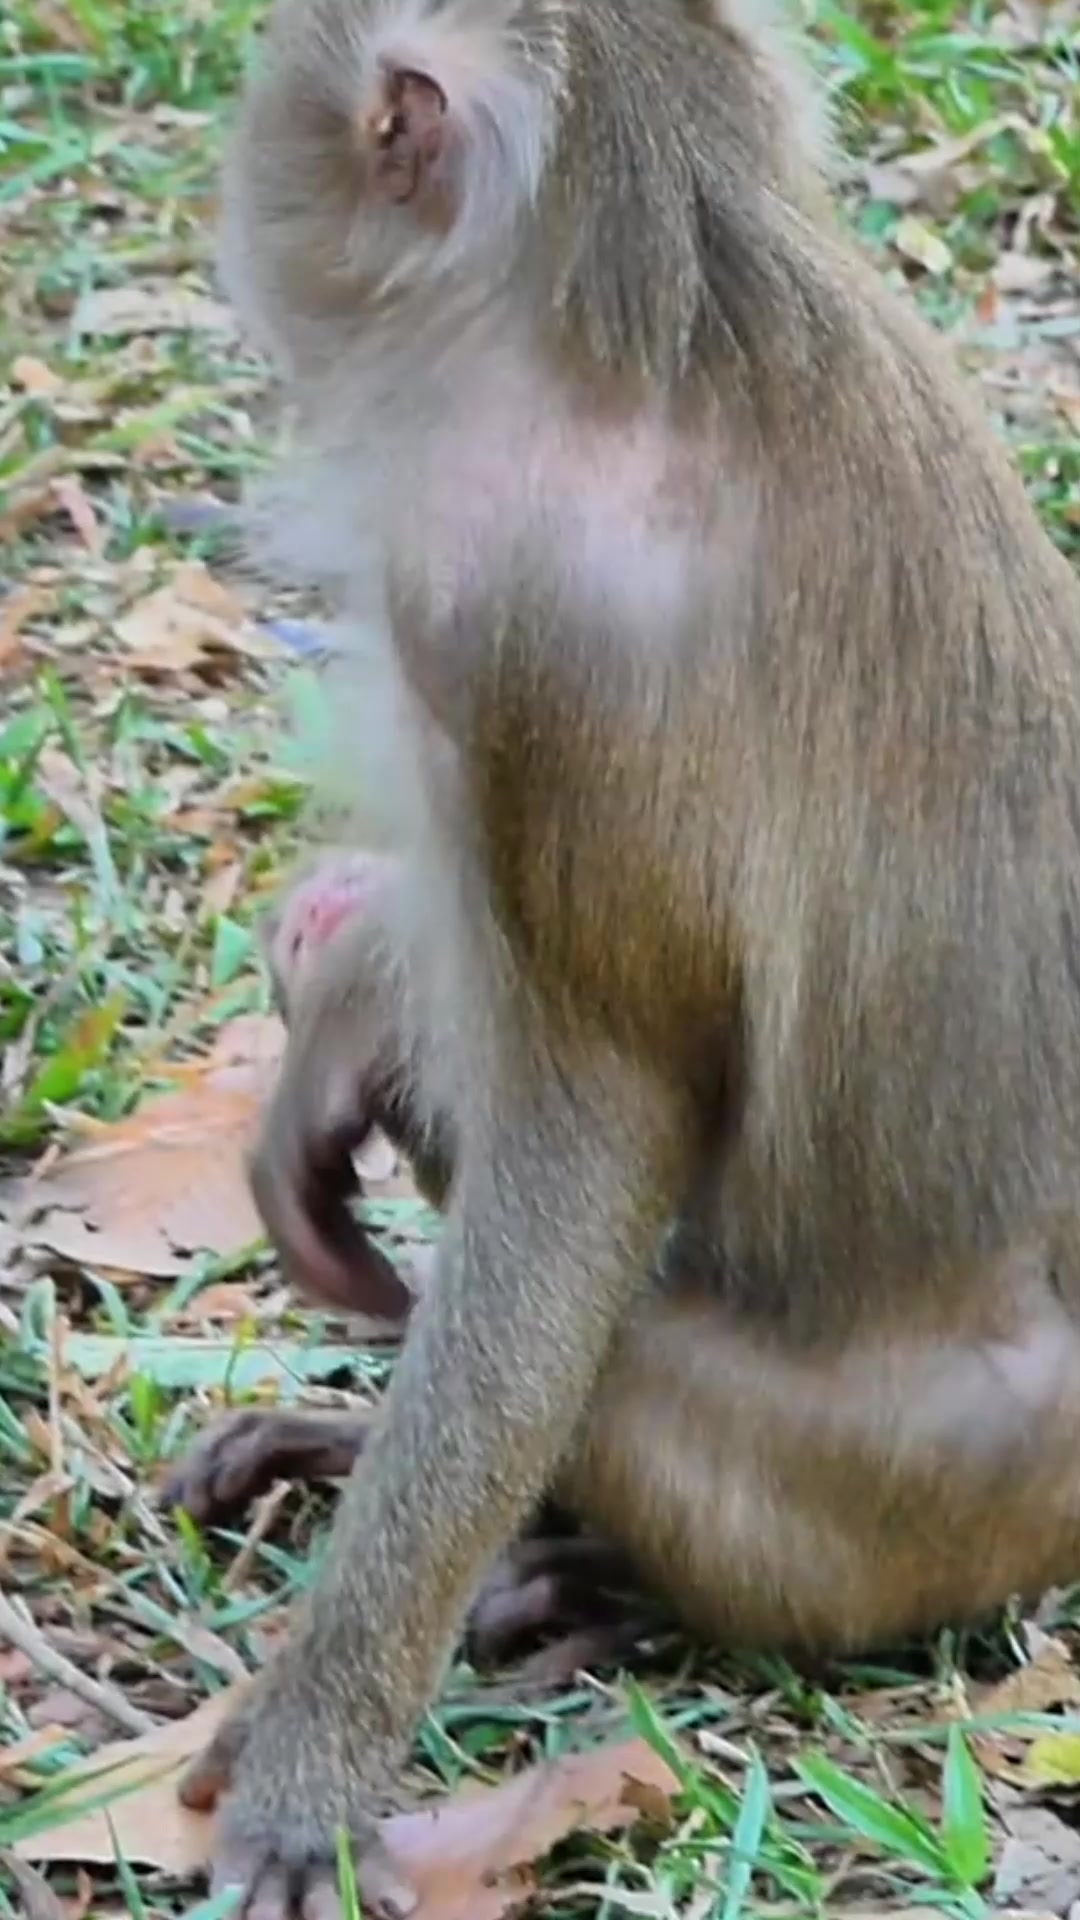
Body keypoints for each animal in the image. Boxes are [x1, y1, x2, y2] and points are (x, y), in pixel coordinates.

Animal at [174, 1, 1080, 1914]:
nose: (247, 174)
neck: (623, 331)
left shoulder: (523, 634)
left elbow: (597, 1136)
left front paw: (315, 1756)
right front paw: (345, 1005)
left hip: (888, 1496)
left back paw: (608, 1581)